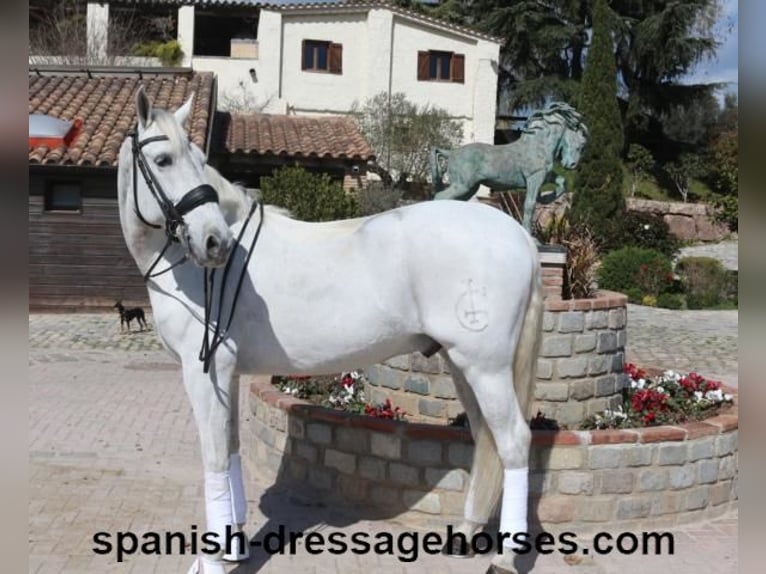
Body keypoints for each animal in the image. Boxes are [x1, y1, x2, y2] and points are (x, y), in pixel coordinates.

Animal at [117, 86, 544, 574]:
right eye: (164, 159)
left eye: (196, 158)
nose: (215, 242)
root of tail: (517, 234)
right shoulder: (226, 375)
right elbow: (231, 449)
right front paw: (231, 548)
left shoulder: (204, 373)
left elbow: (214, 459)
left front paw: (211, 560)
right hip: (463, 365)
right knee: (485, 437)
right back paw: (469, 531)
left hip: (485, 367)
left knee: (513, 441)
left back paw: (506, 556)